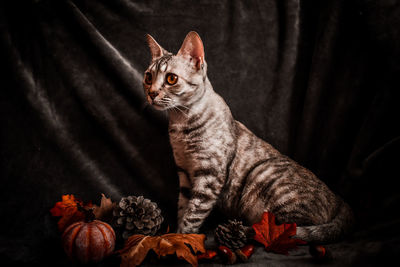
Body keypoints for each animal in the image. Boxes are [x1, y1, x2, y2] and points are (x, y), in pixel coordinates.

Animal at [143, 31, 354, 245]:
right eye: (148, 77)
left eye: (171, 78)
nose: (152, 93)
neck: (181, 124)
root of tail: (340, 200)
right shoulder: (185, 174)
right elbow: (183, 208)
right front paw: (175, 235)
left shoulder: (209, 176)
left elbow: (194, 212)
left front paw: (181, 236)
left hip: (264, 175)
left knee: (284, 231)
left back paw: (242, 231)